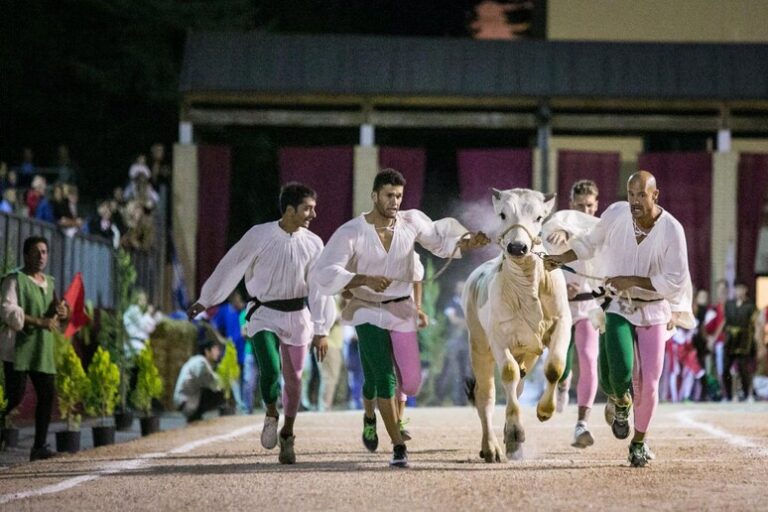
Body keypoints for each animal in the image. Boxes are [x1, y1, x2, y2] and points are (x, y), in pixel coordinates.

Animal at [462, 189, 568, 464]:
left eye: (539, 217)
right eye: (502, 214)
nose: (518, 247)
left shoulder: (562, 324)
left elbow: (554, 367)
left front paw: (545, 410)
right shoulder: (499, 339)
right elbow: (508, 373)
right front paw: (513, 435)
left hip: (527, 354)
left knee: (519, 386)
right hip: (478, 345)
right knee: (486, 395)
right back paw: (491, 448)